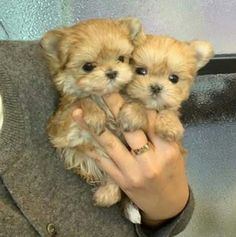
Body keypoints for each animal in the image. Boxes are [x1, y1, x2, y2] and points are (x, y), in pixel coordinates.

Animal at [41, 18, 145, 207]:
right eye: (88, 67)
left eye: (121, 59)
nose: (112, 72)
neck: (103, 99)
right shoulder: (63, 132)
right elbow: (82, 100)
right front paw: (95, 114)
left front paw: (134, 113)